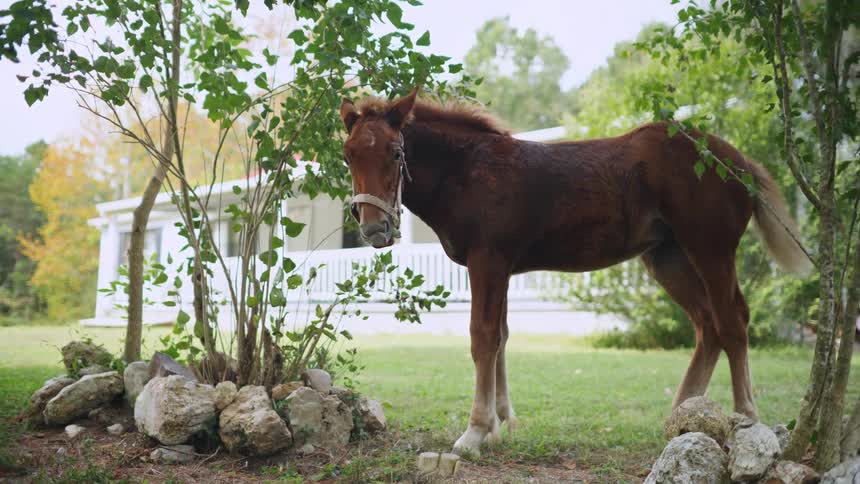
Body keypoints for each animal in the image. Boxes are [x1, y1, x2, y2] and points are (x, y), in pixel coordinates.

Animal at [338, 88, 811, 456]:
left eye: (396, 152)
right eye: (348, 155)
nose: (374, 229)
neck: (467, 170)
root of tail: (739, 162)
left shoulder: (488, 260)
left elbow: (483, 337)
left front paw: (474, 432)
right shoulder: (502, 266)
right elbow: (501, 337)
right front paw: (500, 427)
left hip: (710, 248)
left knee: (732, 321)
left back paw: (746, 418)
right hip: (667, 257)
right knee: (707, 324)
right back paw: (679, 415)